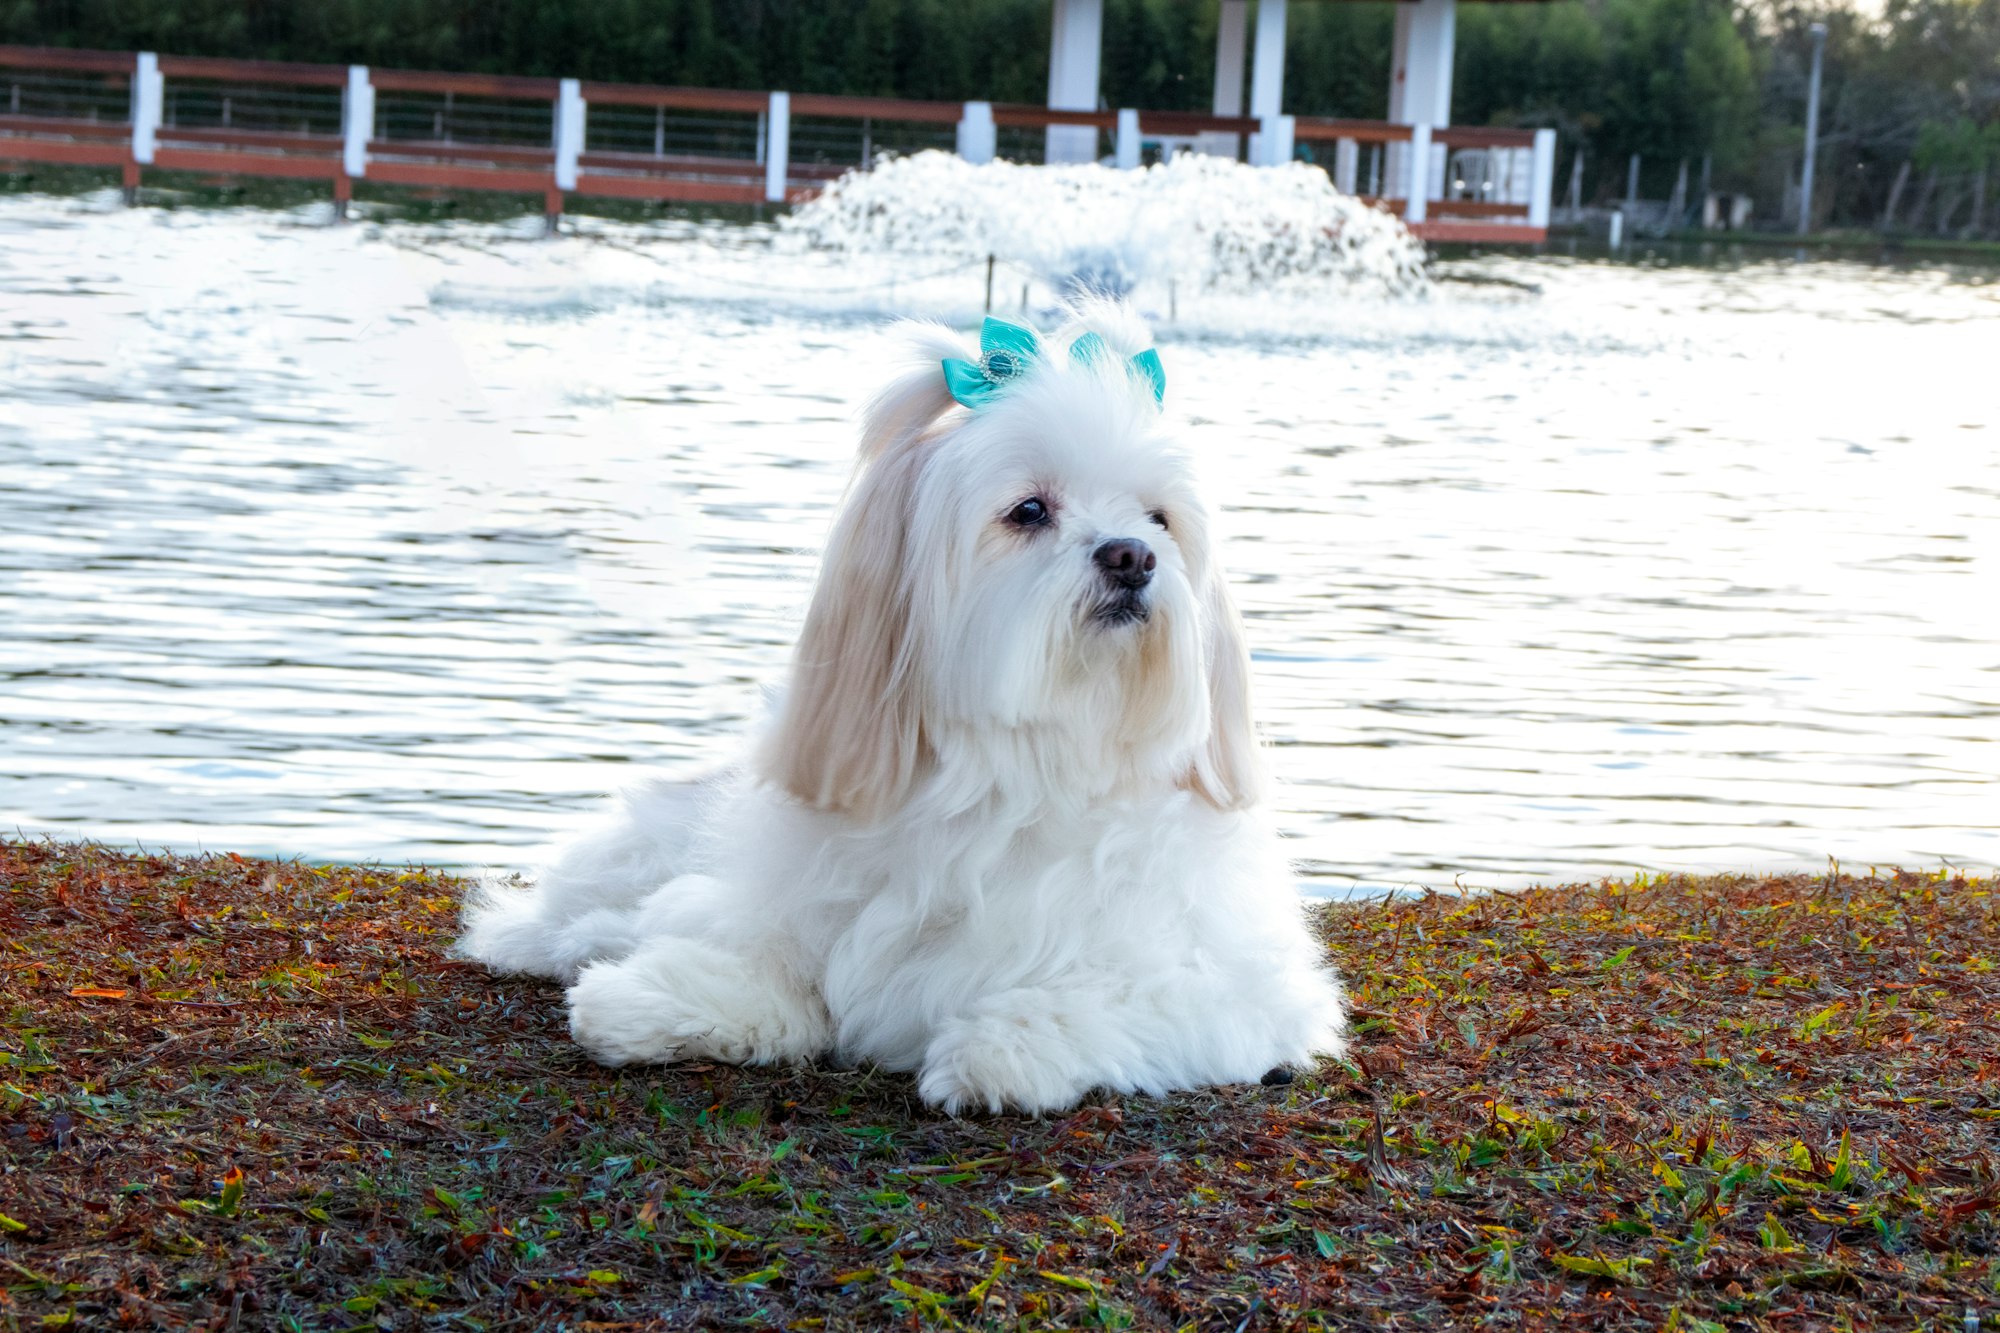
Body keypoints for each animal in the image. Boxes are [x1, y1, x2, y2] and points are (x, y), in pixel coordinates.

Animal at [458, 300, 1344, 1112]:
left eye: (1159, 518)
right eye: (1029, 510)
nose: (1131, 556)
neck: (1028, 763)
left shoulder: (1244, 993)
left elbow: (1120, 997)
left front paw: (1003, 1046)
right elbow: (772, 969)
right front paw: (644, 999)